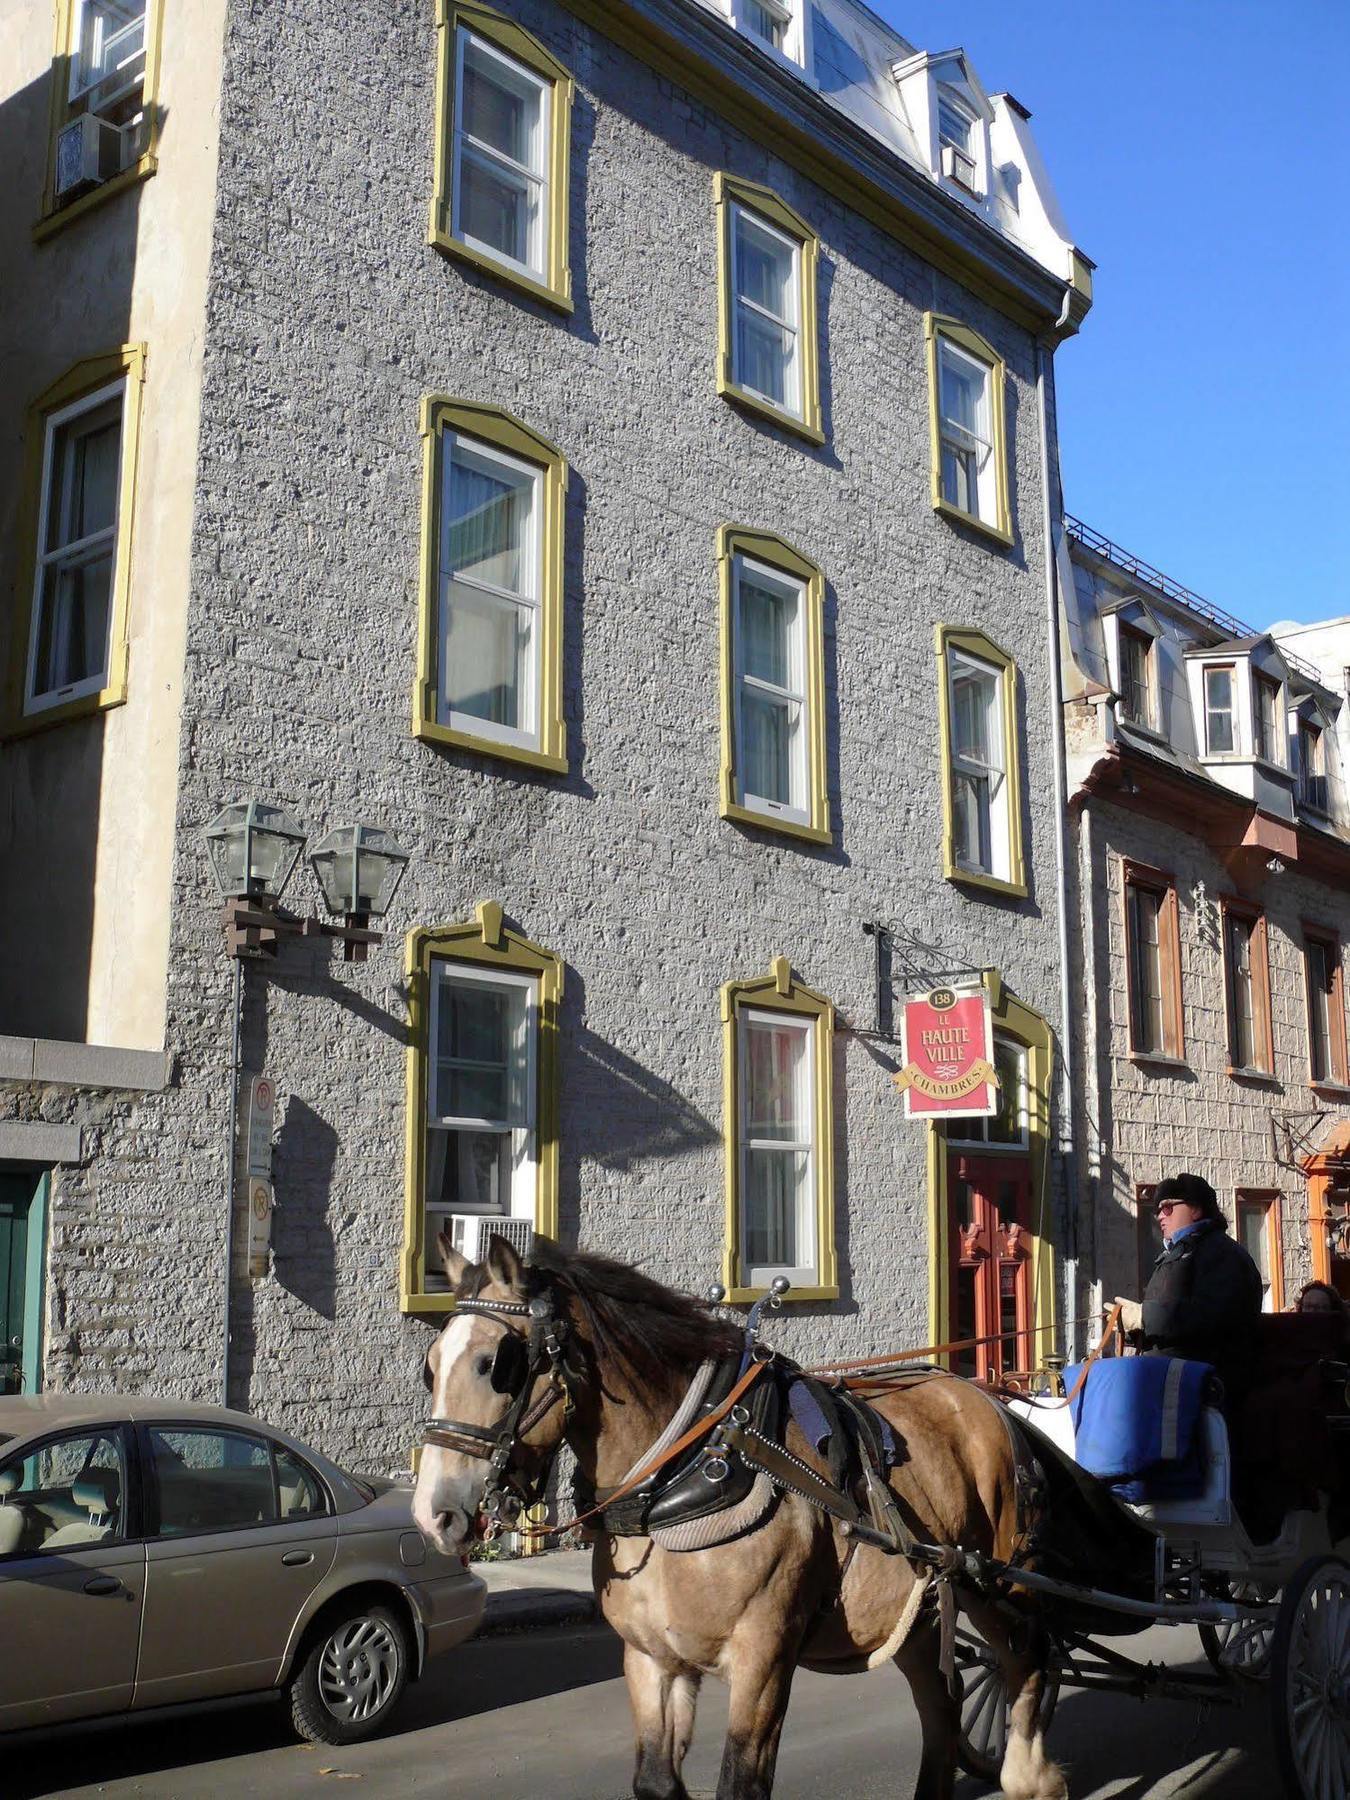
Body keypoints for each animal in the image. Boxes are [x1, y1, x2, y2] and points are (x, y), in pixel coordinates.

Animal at [412, 1238, 1065, 1800]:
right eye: (430, 1366)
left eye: (496, 1364)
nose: (432, 1513)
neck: (680, 1474)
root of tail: (988, 1399)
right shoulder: (651, 1657)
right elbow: (655, 1780)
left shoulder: (764, 1655)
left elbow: (740, 1783)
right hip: (918, 1608)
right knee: (943, 1704)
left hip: (998, 1583)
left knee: (1029, 1658)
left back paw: (1031, 1776)